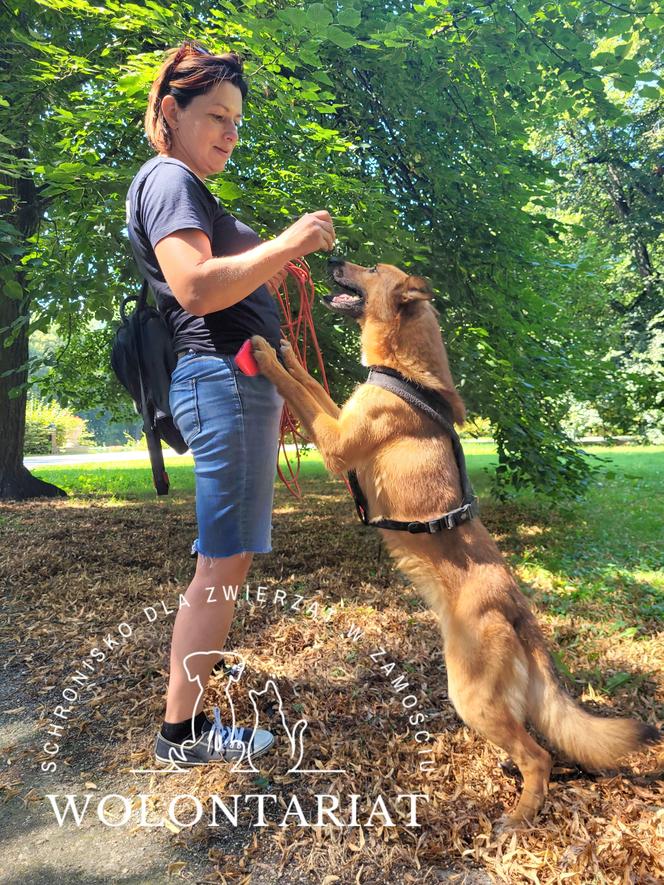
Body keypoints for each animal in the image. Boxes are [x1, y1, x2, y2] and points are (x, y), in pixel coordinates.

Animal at [252, 258, 660, 828]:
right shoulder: (339, 416)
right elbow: (309, 382)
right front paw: (289, 349)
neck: (404, 374)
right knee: (537, 744)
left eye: (370, 267)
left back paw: (518, 817)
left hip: (470, 695)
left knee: (539, 755)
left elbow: (294, 390)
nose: (331, 259)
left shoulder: (336, 443)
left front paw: (266, 353)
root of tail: (517, 610)